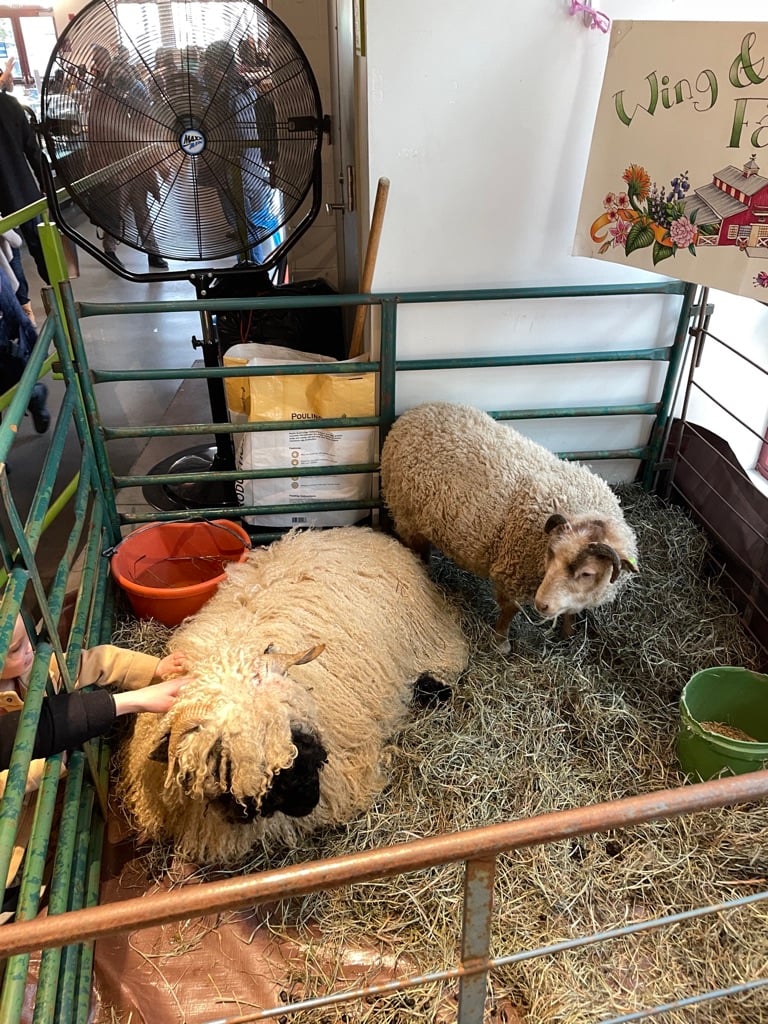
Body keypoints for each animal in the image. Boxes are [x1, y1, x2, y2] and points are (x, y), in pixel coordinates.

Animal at [116, 525, 468, 866]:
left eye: (293, 735)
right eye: (233, 764)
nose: (309, 800)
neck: (234, 654)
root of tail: (364, 533)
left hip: (431, 643)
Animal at [379, 401, 639, 652]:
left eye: (587, 573)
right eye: (551, 555)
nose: (541, 604)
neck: (580, 508)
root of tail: (413, 413)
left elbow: (571, 612)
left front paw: (568, 634)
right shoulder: (511, 572)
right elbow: (509, 610)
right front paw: (500, 642)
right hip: (407, 516)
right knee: (417, 551)